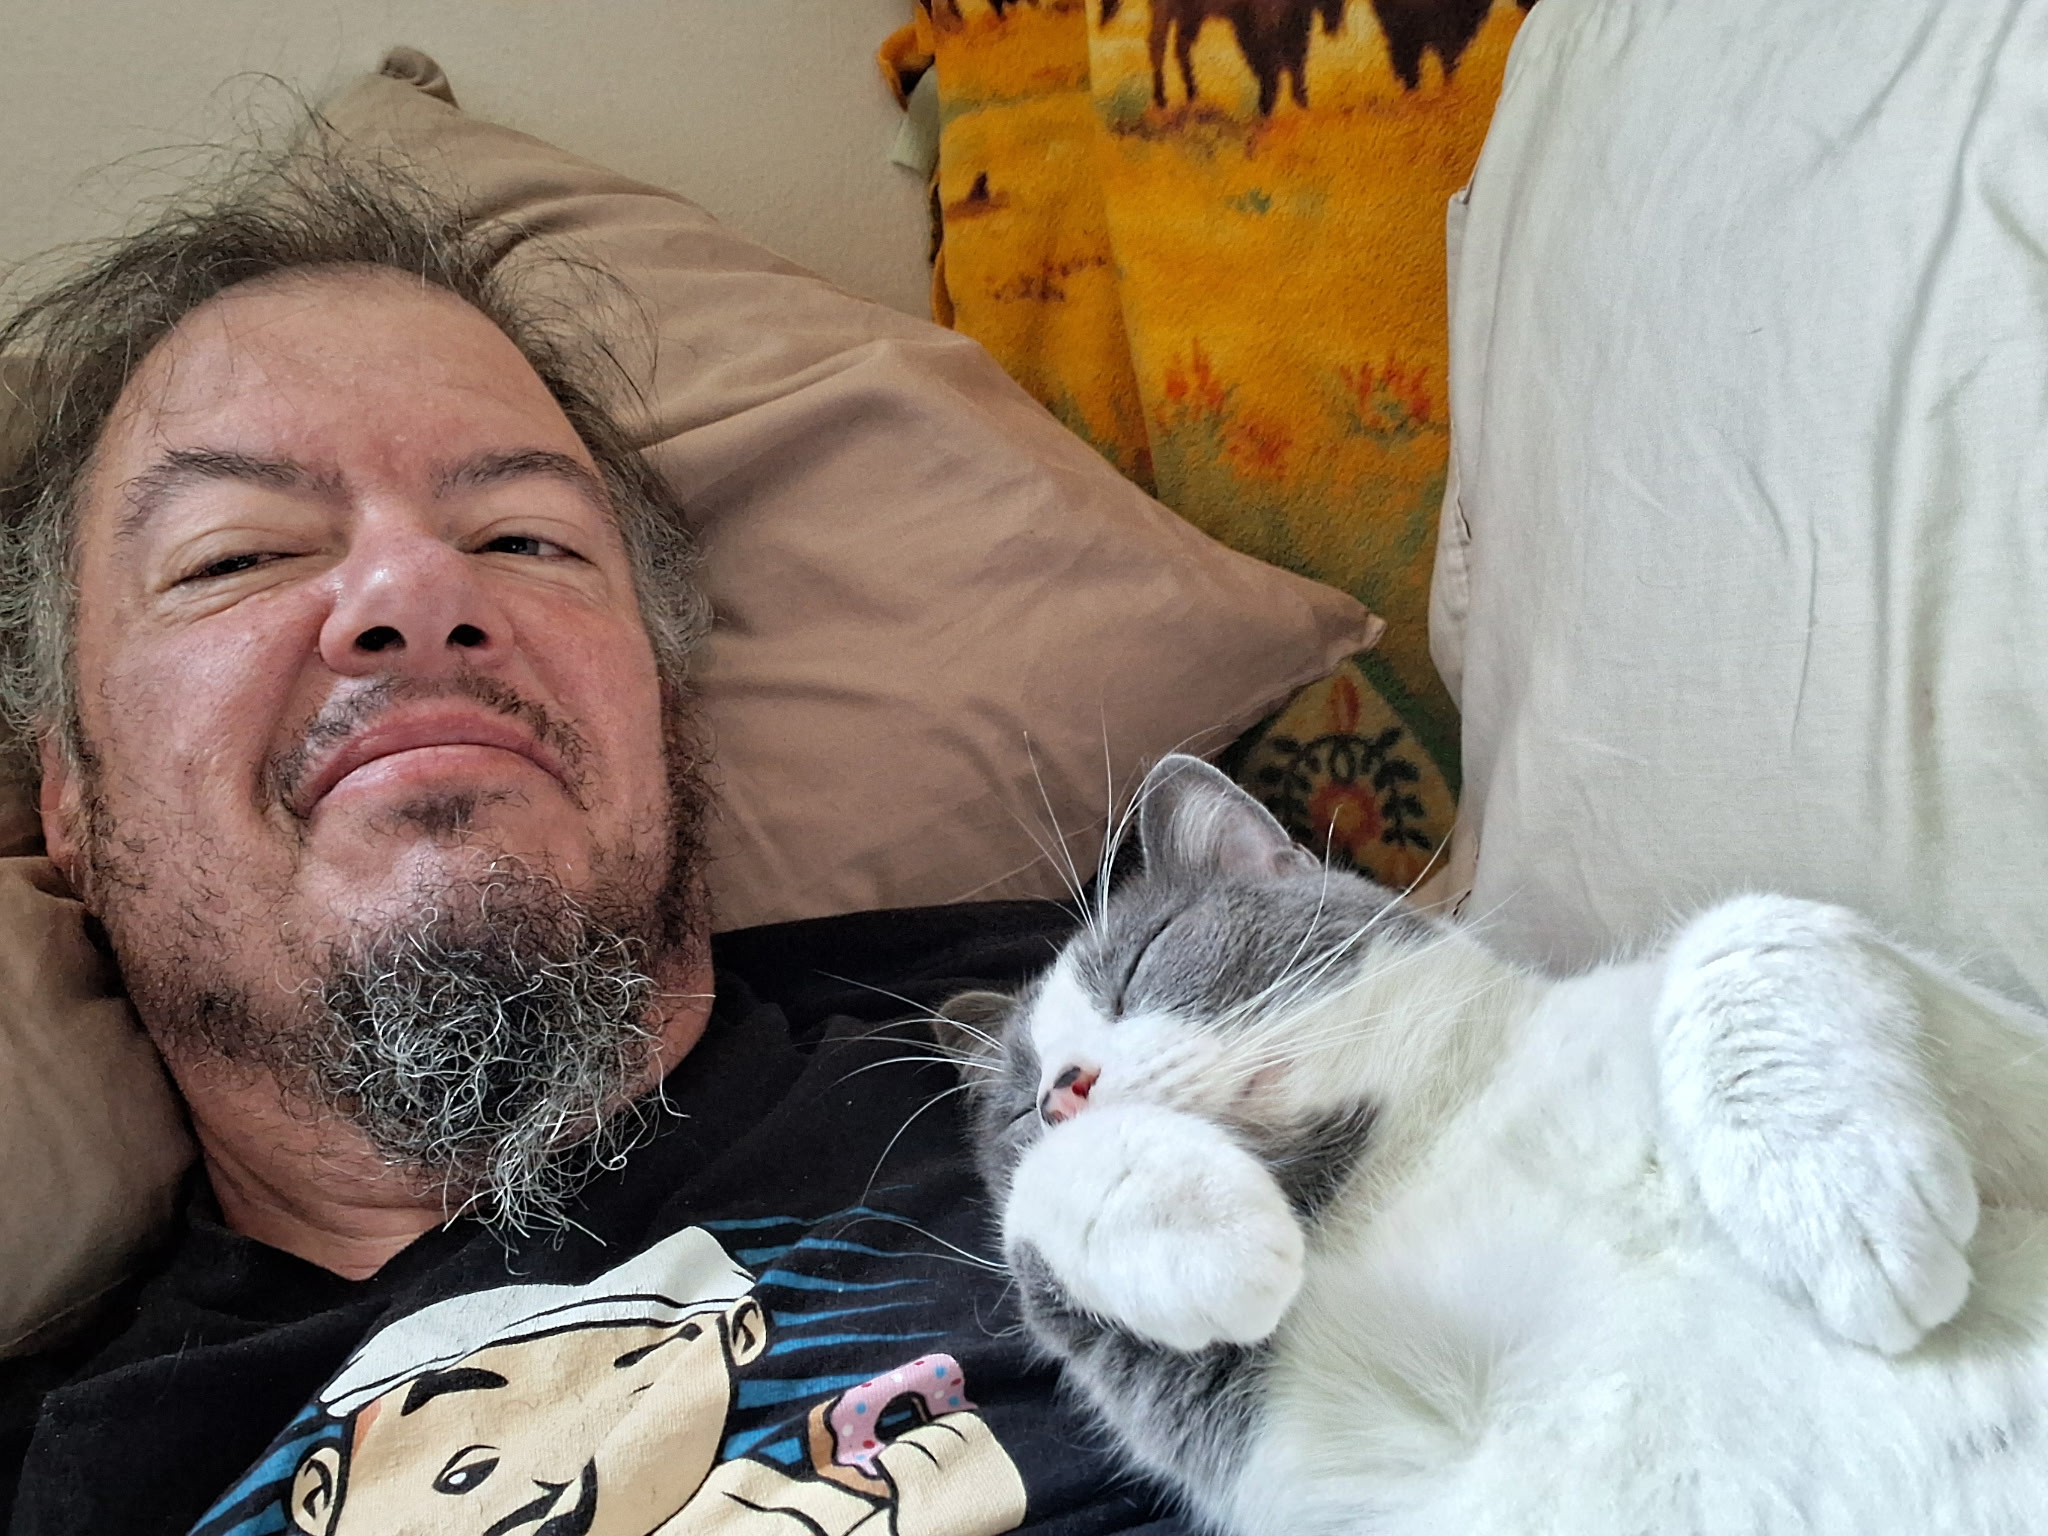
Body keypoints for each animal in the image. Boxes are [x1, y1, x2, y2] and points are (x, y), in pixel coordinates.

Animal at [941, 753, 2048, 1535]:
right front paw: (1210, 1230)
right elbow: (1038, 1241)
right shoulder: (1308, 1433)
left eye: (1140, 964)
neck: (1438, 1137)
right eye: (1016, 1110)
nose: (1064, 1092)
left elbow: (1749, 919)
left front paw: (1840, 1207)